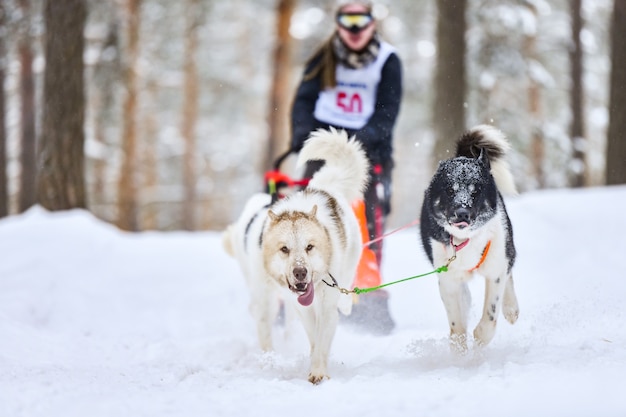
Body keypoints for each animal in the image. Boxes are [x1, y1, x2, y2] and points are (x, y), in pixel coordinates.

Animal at [221, 127, 366, 384]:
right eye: (284, 249)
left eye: (310, 247)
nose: (300, 272)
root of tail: (323, 187)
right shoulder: (296, 306)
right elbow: (309, 336)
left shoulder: (325, 304)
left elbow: (321, 338)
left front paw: (318, 371)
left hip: (349, 259)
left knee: (347, 283)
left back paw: (347, 302)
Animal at [420, 124, 516, 352]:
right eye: (449, 189)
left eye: (476, 190)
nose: (462, 213)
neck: (464, 241)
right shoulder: (447, 280)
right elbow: (457, 325)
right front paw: (459, 349)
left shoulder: (495, 271)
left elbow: (490, 316)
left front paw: (480, 339)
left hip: (506, 248)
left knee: (509, 271)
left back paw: (511, 308)